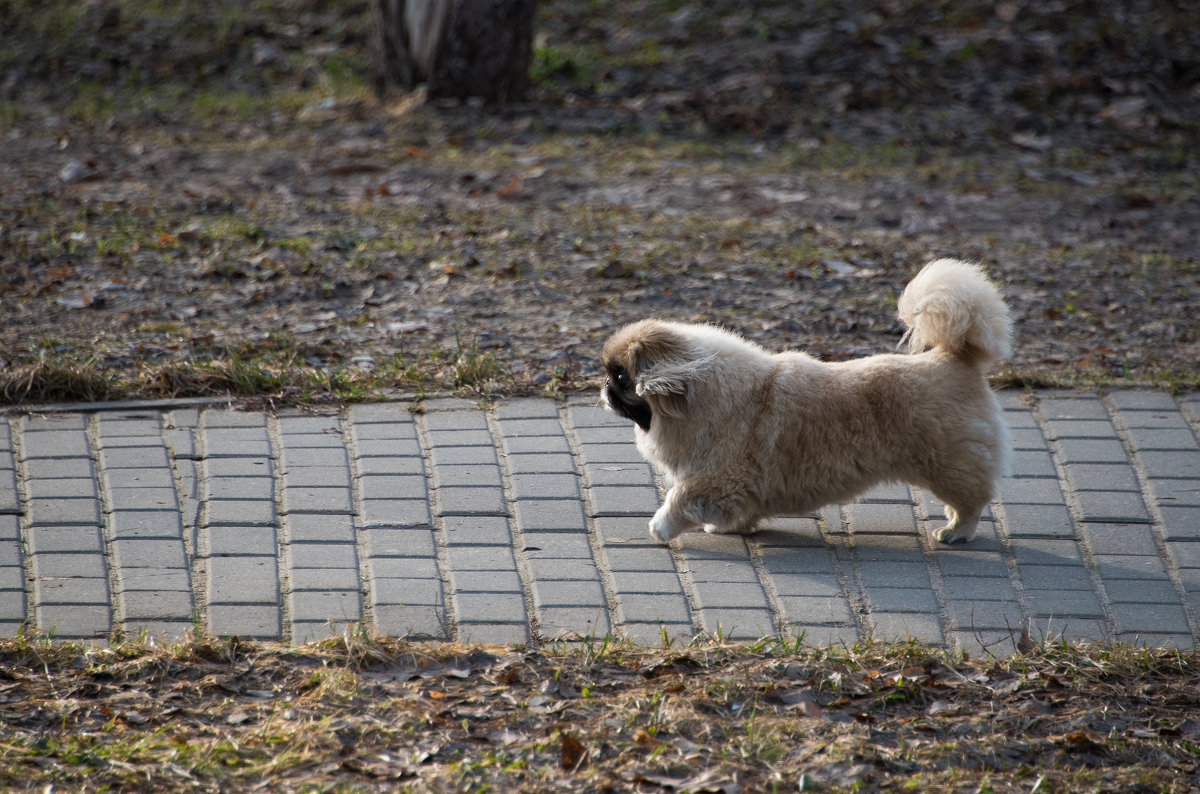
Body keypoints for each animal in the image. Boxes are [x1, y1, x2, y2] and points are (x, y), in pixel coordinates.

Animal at [600, 261, 1012, 546]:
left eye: (621, 378)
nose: (603, 387)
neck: (702, 393)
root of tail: (956, 357)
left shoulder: (719, 478)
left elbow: (681, 497)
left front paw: (661, 526)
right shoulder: (735, 487)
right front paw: (727, 527)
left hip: (948, 466)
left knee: (973, 501)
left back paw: (956, 531)